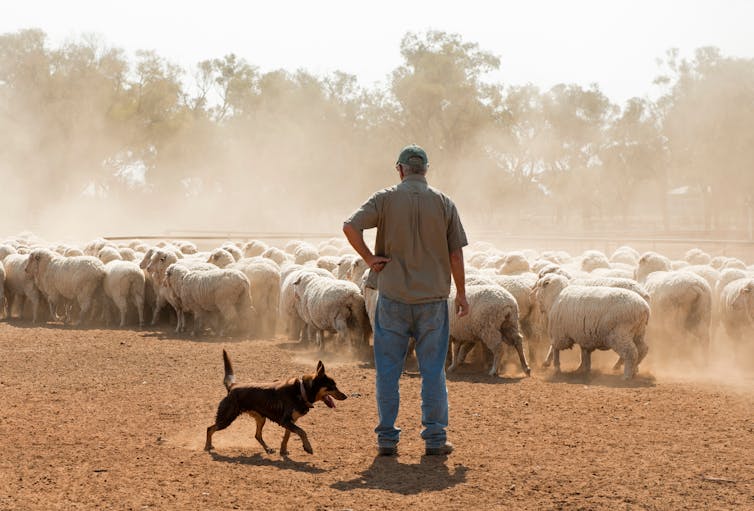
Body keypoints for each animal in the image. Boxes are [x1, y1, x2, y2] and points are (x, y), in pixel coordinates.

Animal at [204, 352, 348, 456]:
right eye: (332, 386)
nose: (345, 396)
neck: (301, 391)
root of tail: (233, 386)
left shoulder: (290, 422)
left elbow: (287, 436)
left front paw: (283, 451)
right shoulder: (286, 421)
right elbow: (302, 432)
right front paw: (308, 447)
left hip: (261, 419)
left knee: (257, 435)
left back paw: (268, 449)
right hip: (226, 418)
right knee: (210, 428)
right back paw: (207, 446)